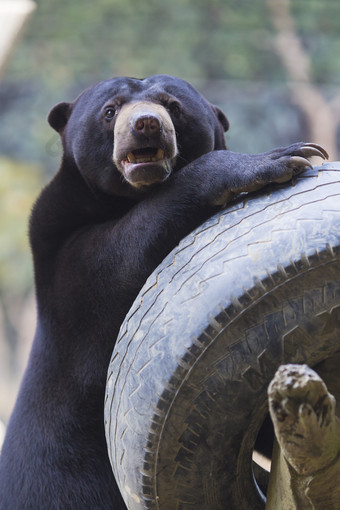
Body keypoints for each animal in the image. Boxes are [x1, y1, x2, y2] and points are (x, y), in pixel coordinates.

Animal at [0, 73, 328, 508]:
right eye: (110, 111)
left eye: (173, 106)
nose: (146, 124)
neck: (127, 196)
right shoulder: (66, 263)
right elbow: (123, 253)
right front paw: (282, 157)